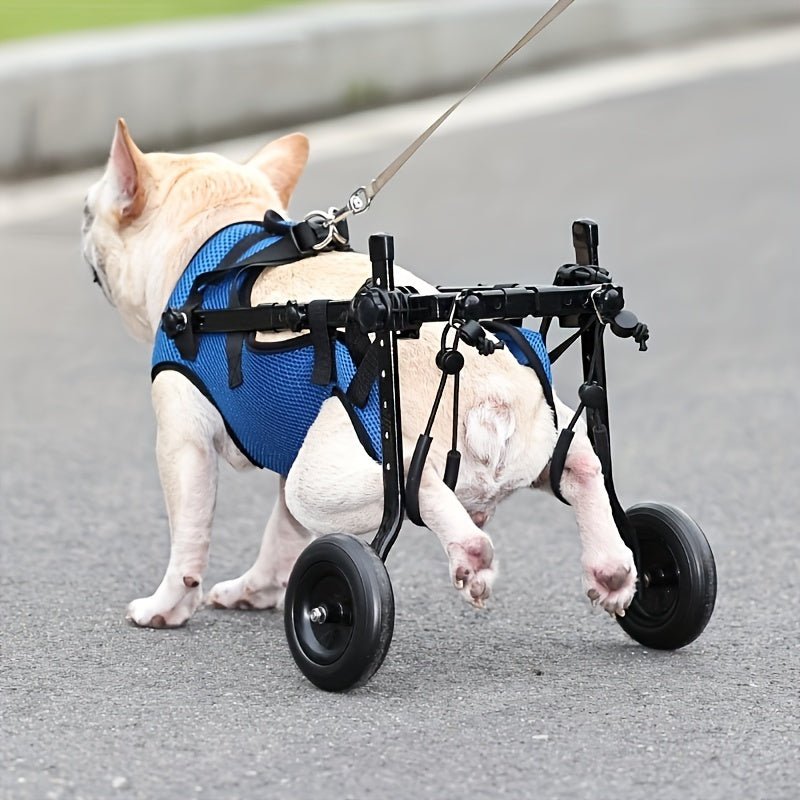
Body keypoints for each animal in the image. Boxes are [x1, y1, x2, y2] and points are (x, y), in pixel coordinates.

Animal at [78, 120, 636, 632]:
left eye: (88, 211)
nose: (81, 219)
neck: (215, 234)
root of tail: (488, 396)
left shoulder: (182, 442)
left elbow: (188, 537)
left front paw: (165, 607)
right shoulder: (291, 445)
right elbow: (280, 536)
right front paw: (254, 590)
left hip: (327, 480)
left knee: (417, 488)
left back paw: (470, 557)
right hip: (546, 430)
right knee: (585, 467)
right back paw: (611, 570)